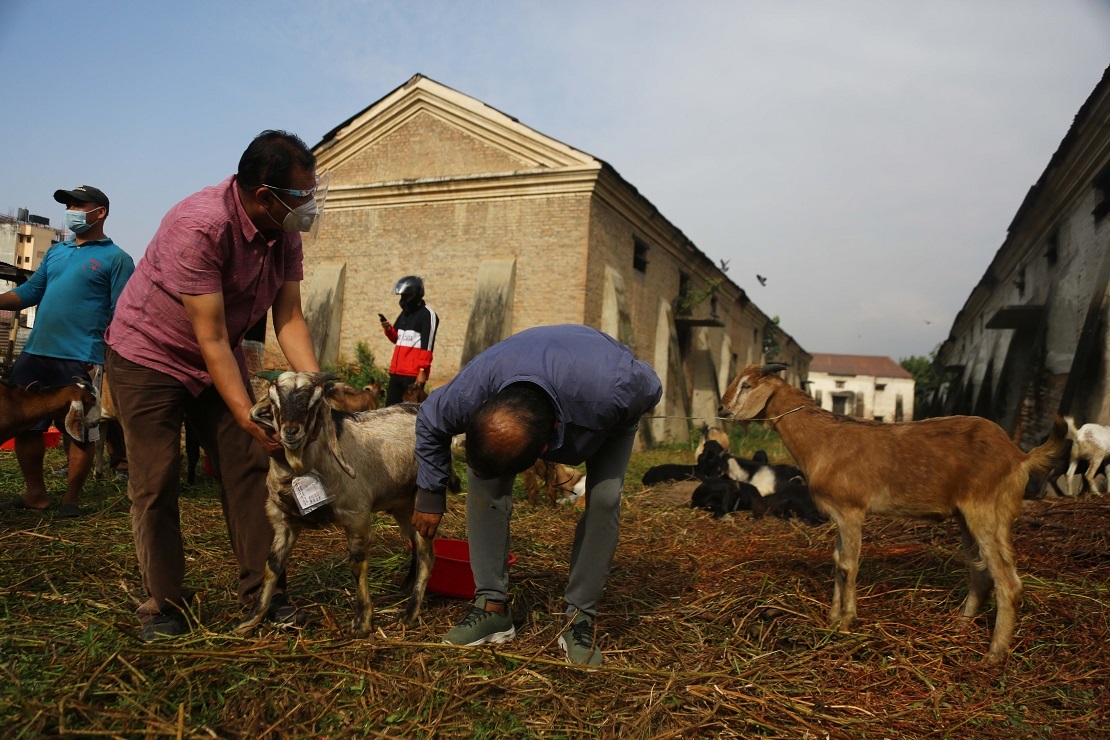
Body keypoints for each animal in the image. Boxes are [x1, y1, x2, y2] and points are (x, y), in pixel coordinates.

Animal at [235, 372, 432, 639]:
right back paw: (405, 587)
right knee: (415, 544)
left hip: (423, 501)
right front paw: (250, 620)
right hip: (402, 504)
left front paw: (362, 622)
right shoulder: (283, 521)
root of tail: (418, 407)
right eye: (275, 402)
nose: (291, 432)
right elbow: (271, 566)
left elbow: (357, 566)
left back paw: (409, 614)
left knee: (426, 554)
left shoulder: (356, 515)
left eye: (314, 403)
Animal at [719, 363, 1065, 665]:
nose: (722, 409)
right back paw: (961, 623)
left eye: (747, 385)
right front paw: (832, 617)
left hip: (984, 511)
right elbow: (837, 560)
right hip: (975, 516)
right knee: (983, 573)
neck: (823, 441)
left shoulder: (851, 510)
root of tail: (1019, 456)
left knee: (1007, 581)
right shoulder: (839, 515)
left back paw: (993, 655)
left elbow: (847, 565)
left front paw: (846, 622)